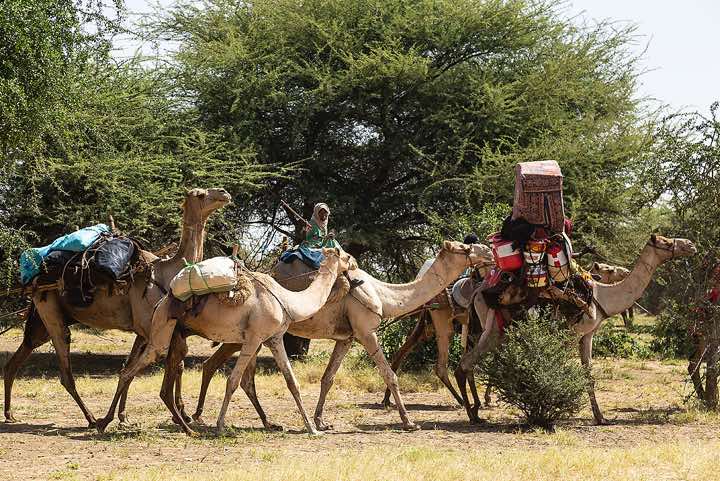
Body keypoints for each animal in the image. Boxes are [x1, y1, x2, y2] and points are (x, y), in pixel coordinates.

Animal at [3, 188, 230, 427]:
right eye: (200, 194)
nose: (224, 193)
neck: (165, 274)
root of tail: (35, 280)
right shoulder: (149, 326)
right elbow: (157, 365)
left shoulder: (148, 329)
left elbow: (140, 365)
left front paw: (126, 415)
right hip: (50, 311)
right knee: (65, 370)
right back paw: (91, 418)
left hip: (41, 320)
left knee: (20, 355)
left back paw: (10, 413)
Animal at [95, 247, 356, 435]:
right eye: (346, 256)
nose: (354, 264)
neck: (288, 300)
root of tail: (162, 301)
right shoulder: (254, 339)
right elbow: (233, 381)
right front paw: (220, 426)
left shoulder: (273, 339)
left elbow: (292, 383)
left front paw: (312, 429)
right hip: (161, 333)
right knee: (130, 371)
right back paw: (105, 422)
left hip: (174, 336)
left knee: (159, 384)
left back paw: (183, 428)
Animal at [187, 241, 494, 432]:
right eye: (466, 248)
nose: (490, 252)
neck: (384, 295)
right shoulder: (366, 331)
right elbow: (390, 375)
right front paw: (409, 422)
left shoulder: (346, 338)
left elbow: (328, 378)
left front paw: (320, 422)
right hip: (243, 335)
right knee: (217, 366)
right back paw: (197, 416)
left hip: (251, 336)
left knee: (235, 373)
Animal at [454, 234, 696, 425]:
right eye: (665, 241)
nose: (690, 245)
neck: (602, 297)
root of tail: (478, 293)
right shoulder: (571, 334)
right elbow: (558, 368)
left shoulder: (587, 335)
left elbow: (589, 376)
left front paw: (600, 418)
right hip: (495, 330)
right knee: (466, 364)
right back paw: (473, 413)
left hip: (490, 329)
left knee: (470, 362)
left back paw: (476, 409)